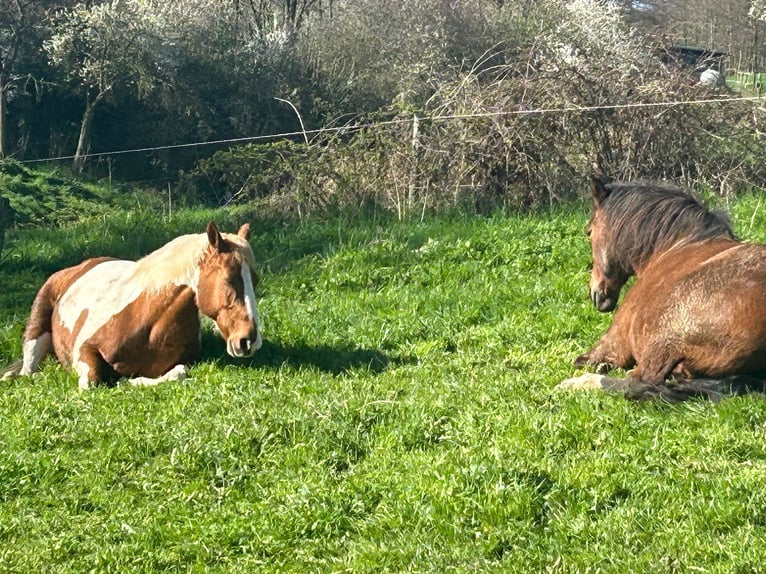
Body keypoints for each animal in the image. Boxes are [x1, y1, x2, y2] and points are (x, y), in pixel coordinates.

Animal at [1, 222, 262, 389]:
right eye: (228, 279)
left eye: (256, 280)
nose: (249, 341)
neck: (146, 323)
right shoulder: (84, 351)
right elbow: (91, 382)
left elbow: (177, 373)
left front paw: (125, 380)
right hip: (36, 328)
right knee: (27, 370)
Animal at [557, 177, 766, 401]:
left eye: (589, 232)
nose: (597, 294)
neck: (678, 244)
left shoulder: (612, 344)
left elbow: (583, 361)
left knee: (636, 382)